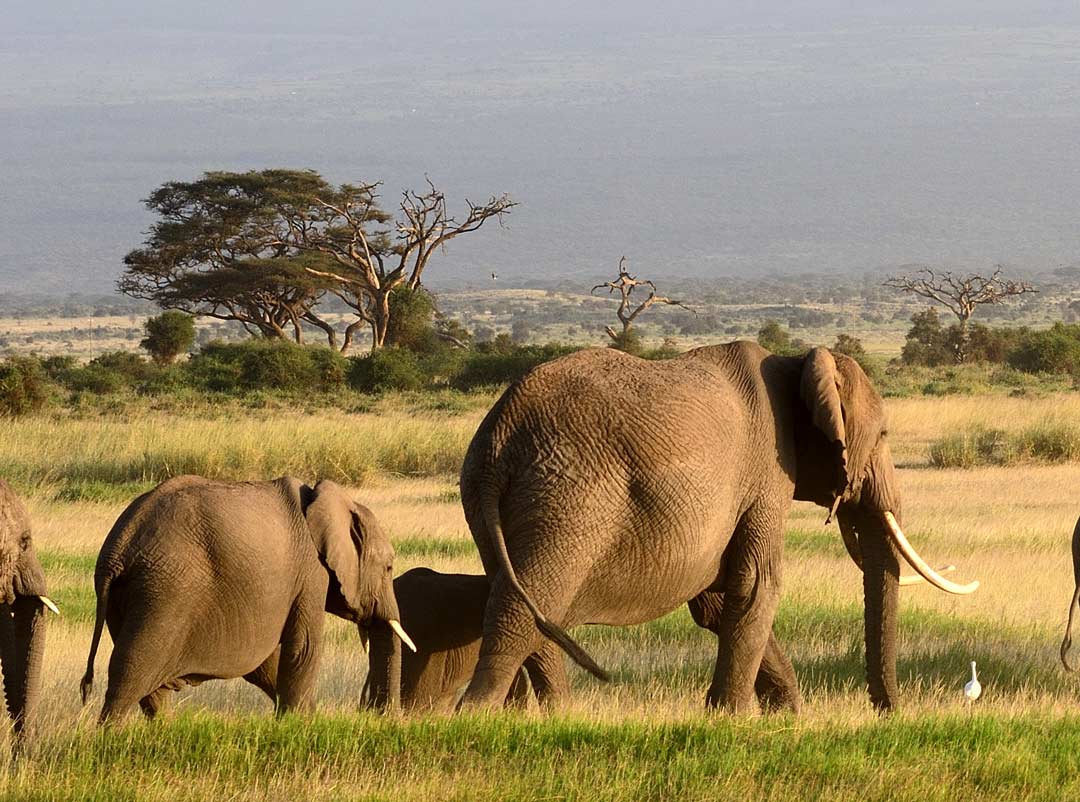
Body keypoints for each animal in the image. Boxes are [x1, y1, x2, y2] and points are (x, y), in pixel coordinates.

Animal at [80, 475, 415, 722]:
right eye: (388, 568)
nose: (381, 717)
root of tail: (118, 546)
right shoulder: (311, 573)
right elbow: (303, 648)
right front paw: (300, 724)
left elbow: (266, 663)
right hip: (164, 590)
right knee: (131, 671)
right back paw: (112, 737)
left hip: (131, 595)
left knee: (150, 687)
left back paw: (163, 730)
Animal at [458, 342, 978, 713]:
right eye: (884, 435)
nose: (889, 712)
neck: (798, 363)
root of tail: (500, 436)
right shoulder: (766, 472)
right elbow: (757, 584)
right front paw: (736, 719)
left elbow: (716, 601)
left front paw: (786, 716)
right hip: (568, 501)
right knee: (528, 606)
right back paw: (478, 714)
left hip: (494, 508)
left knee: (523, 602)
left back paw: (559, 718)